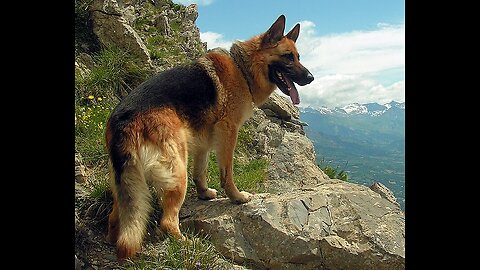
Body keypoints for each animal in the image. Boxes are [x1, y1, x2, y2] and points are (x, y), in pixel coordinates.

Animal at [106, 14, 316, 260]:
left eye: (299, 57)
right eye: (287, 57)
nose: (311, 78)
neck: (243, 69)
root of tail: (124, 119)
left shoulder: (204, 141)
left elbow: (201, 171)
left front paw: (204, 193)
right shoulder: (228, 132)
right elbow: (227, 173)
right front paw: (236, 197)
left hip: (129, 183)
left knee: (117, 217)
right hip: (177, 171)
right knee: (167, 221)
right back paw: (186, 244)